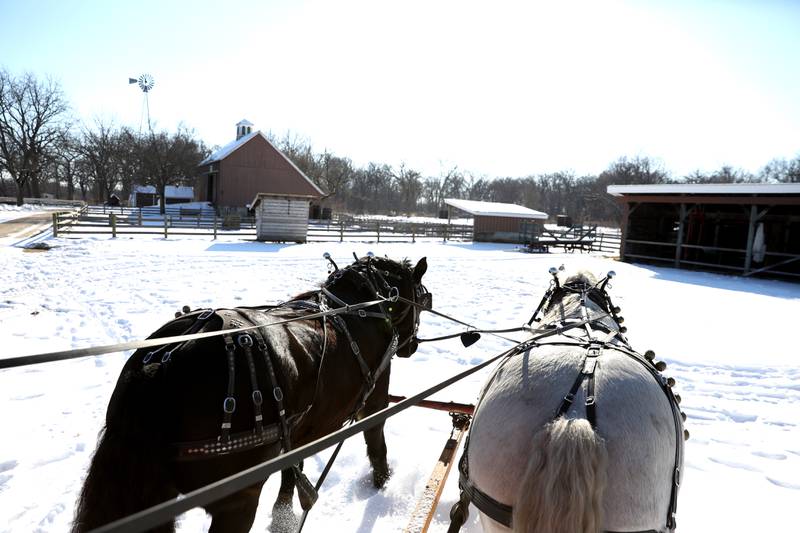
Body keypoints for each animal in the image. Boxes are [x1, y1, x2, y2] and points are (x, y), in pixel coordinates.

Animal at [72, 256, 428, 528]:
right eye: (422, 299)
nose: (412, 347)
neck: (366, 304)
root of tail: (162, 363)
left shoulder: (299, 431)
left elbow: (291, 471)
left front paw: (283, 515)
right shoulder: (375, 399)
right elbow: (376, 441)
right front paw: (382, 482)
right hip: (238, 500)